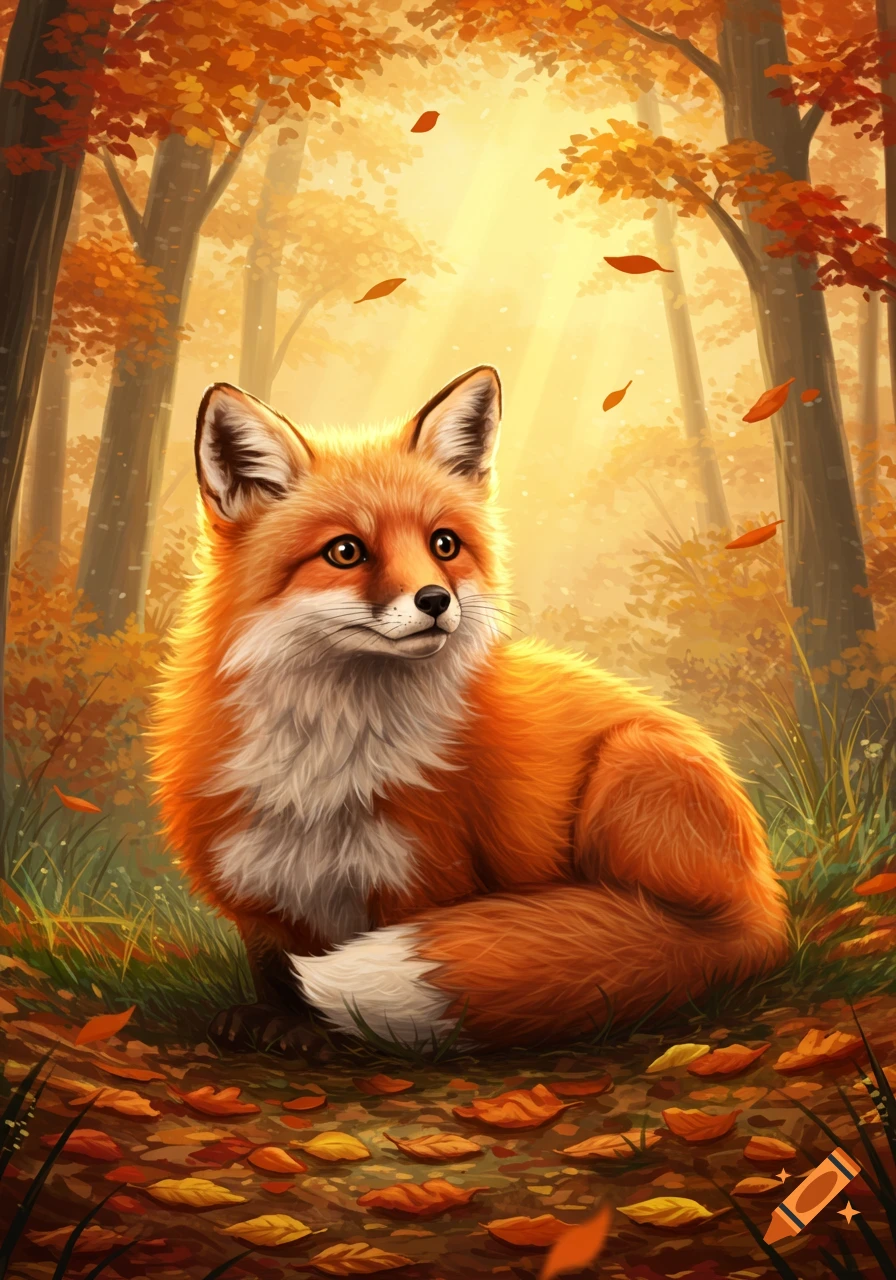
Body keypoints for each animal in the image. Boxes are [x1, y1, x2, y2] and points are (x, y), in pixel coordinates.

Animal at [151, 365, 789, 1057]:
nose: (435, 600)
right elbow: (276, 967)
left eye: (444, 544)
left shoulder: (423, 876)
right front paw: (276, 1017)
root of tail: (766, 910)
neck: (326, 763)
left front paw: (323, 1033)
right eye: (346, 552)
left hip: (633, 765)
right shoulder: (257, 882)